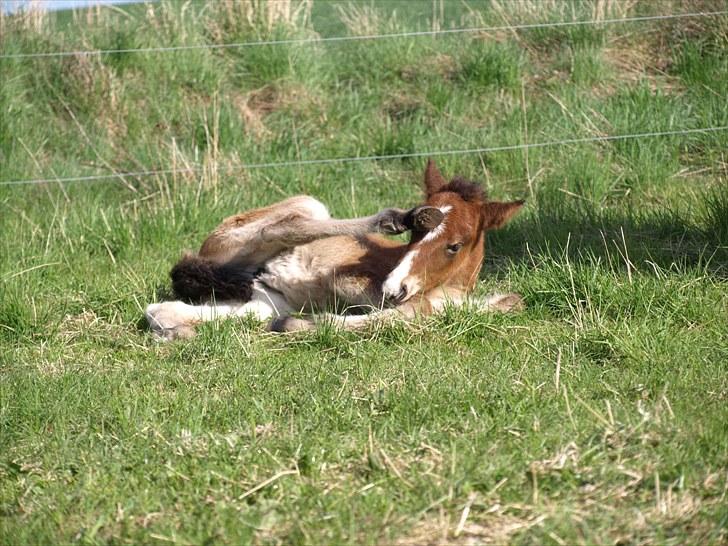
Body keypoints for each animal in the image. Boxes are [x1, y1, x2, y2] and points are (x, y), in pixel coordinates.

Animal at [148, 157, 524, 336]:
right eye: (414, 239)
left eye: (454, 246)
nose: (393, 287)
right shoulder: (353, 282)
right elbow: (405, 314)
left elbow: (511, 302)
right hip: (299, 211)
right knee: (281, 227)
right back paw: (393, 217)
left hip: (263, 299)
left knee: (162, 310)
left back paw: (175, 331)